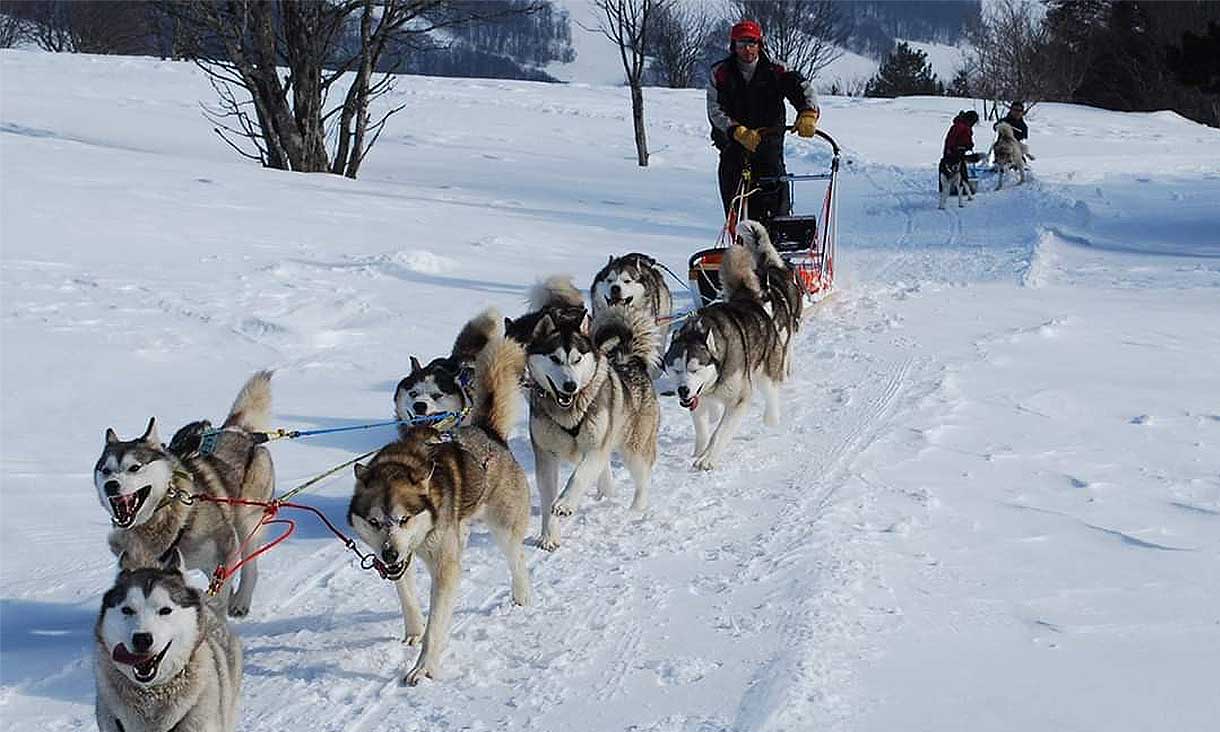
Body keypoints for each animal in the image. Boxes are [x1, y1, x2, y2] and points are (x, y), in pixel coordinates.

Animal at [92, 370, 279, 617]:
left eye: (135, 467)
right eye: (106, 470)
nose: (111, 486)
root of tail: (239, 431)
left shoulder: (226, 549)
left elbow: (220, 595)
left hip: (247, 521)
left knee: (249, 568)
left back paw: (240, 601)